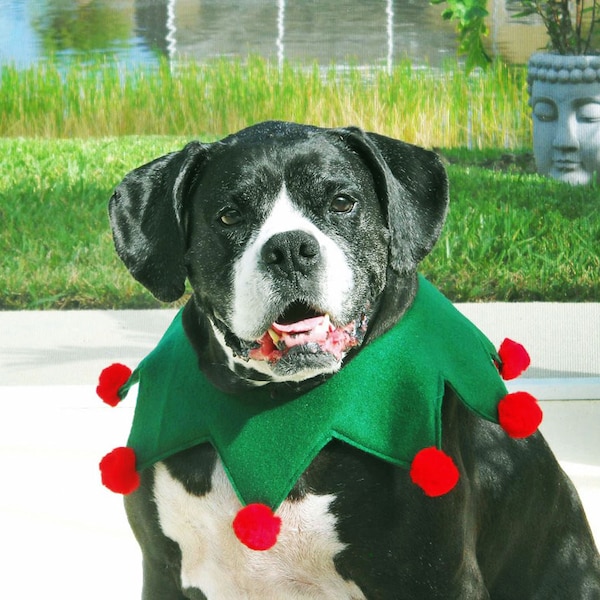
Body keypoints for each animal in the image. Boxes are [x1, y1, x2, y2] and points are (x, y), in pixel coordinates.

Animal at [110, 119, 596, 596]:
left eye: (342, 202)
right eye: (230, 214)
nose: (290, 249)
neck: (278, 402)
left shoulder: (441, 577)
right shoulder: (162, 570)